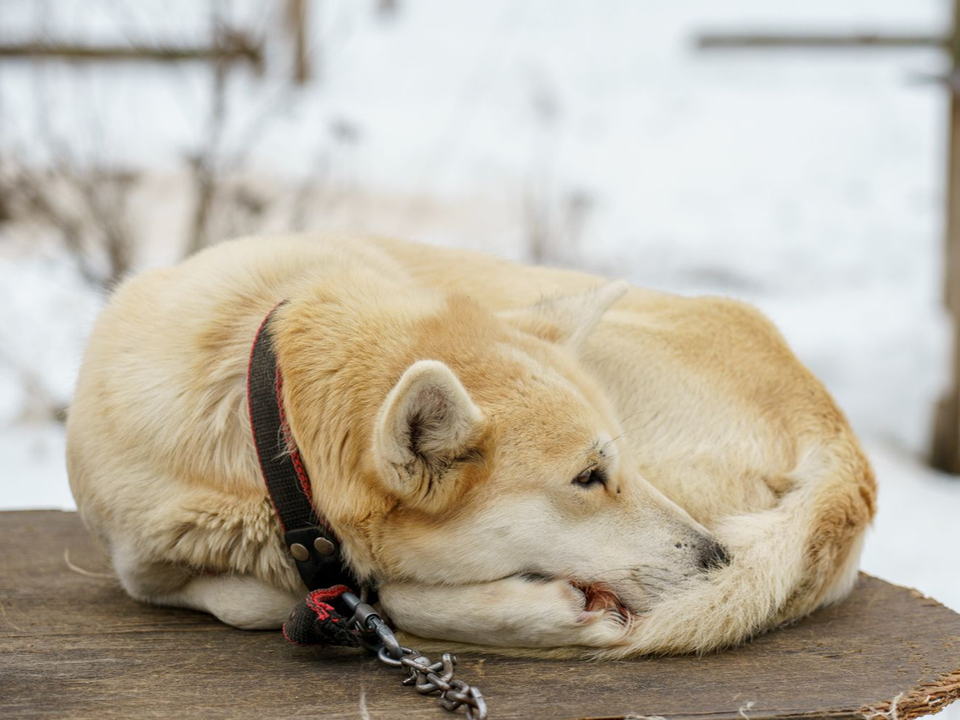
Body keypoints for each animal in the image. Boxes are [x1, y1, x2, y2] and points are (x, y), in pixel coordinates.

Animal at [67, 236, 876, 660]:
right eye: (589, 476)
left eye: (622, 467)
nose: (718, 558)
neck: (262, 410)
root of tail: (844, 445)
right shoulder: (140, 558)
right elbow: (245, 597)